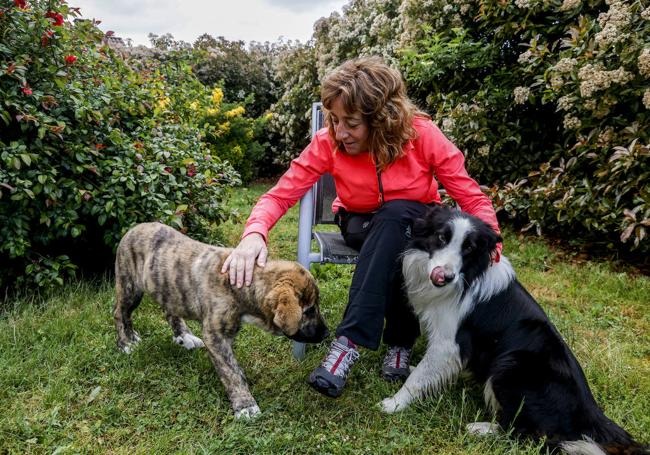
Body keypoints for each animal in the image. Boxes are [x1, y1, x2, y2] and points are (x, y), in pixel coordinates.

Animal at [112, 223, 330, 418]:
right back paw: (126, 342)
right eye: (309, 311)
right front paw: (245, 405)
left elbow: (233, 367)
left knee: (169, 310)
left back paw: (183, 335)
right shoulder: (215, 337)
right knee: (119, 312)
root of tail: (133, 228)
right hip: (130, 286)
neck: (242, 286)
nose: (327, 333)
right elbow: (231, 371)